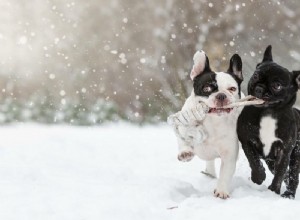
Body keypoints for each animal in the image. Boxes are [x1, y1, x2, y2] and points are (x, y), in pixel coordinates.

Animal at [169, 50, 244, 199]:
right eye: (207, 88)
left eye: (232, 89)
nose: (221, 95)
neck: (212, 120)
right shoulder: (182, 126)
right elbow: (183, 140)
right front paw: (185, 152)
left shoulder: (229, 154)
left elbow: (225, 173)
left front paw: (221, 190)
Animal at [238, 45, 300, 199]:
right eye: (255, 76)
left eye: (277, 85)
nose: (259, 88)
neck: (267, 112)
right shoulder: (246, 140)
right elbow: (253, 160)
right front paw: (258, 177)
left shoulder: (285, 149)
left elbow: (280, 172)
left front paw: (274, 190)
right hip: (270, 160)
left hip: (296, 155)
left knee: (292, 175)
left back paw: (289, 194)